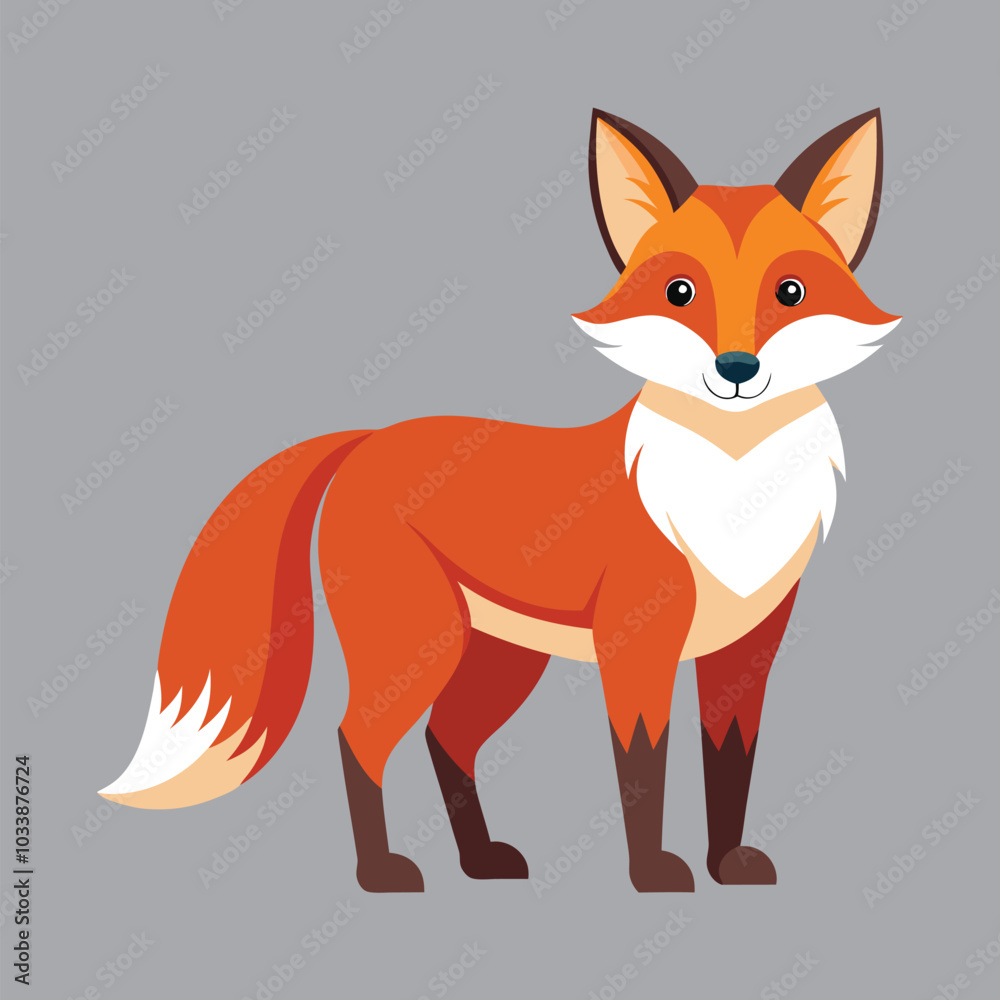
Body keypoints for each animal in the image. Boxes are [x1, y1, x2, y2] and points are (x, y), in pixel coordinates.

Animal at [99, 108, 900, 892]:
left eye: (790, 293)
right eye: (680, 293)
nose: (737, 367)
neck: (737, 494)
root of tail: (367, 438)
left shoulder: (748, 650)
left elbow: (731, 764)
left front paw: (728, 867)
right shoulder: (634, 644)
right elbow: (644, 764)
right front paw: (653, 875)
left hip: (500, 659)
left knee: (445, 736)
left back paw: (480, 861)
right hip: (419, 645)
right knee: (358, 737)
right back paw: (382, 873)